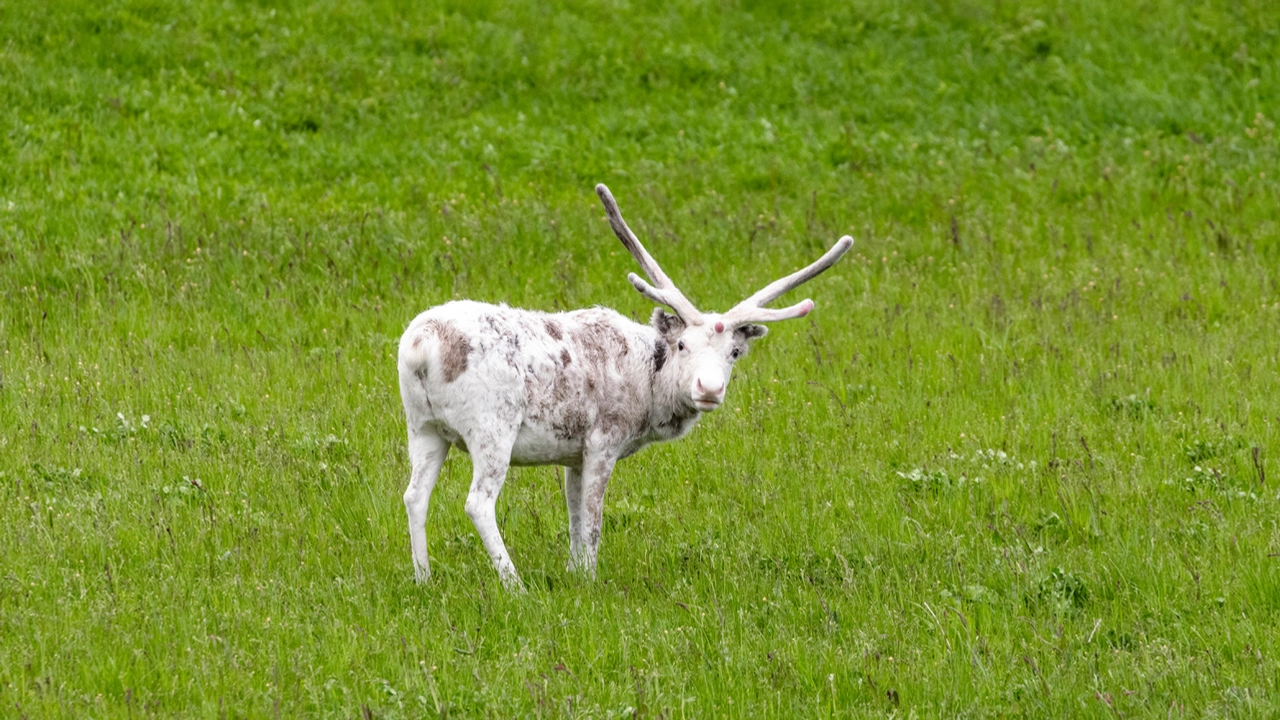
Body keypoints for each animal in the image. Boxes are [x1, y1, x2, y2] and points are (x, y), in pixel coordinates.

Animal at [397, 184, 853, 589]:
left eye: (735, 352)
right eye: (683, 344)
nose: (709, 387)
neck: (648, 400)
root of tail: (420, 348)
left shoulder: (573, 452)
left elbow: (574, 513)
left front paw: (573, 572)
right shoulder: (604, 438)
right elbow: (594, 519)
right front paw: (589, 580)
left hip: (422, 425)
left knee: (414, 494)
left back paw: (423, 578)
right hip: (492, 425)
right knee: (478, 502)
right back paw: (515, 585)